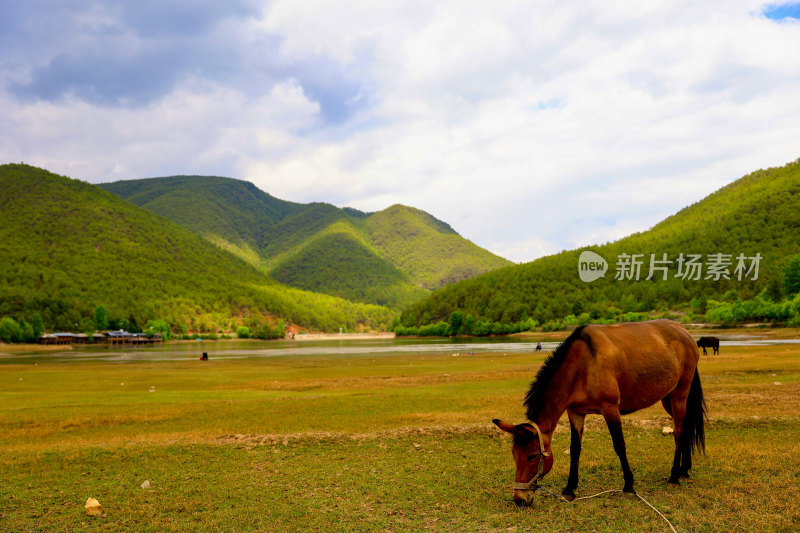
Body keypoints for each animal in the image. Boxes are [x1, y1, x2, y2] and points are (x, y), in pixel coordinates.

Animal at [494, 318, 708, 504]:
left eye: (532, 455)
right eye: (514, 454)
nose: (519, 499)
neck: (584, 365)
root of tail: (685, 332)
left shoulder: (610, 409)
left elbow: (619, 445)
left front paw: (629, 486)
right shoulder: (575, 413)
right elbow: (575, 449)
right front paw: (570, 489)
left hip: (680, 393)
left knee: (679, 431)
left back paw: (674, 476)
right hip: (668, 397)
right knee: (687, 427)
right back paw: (684, 470)